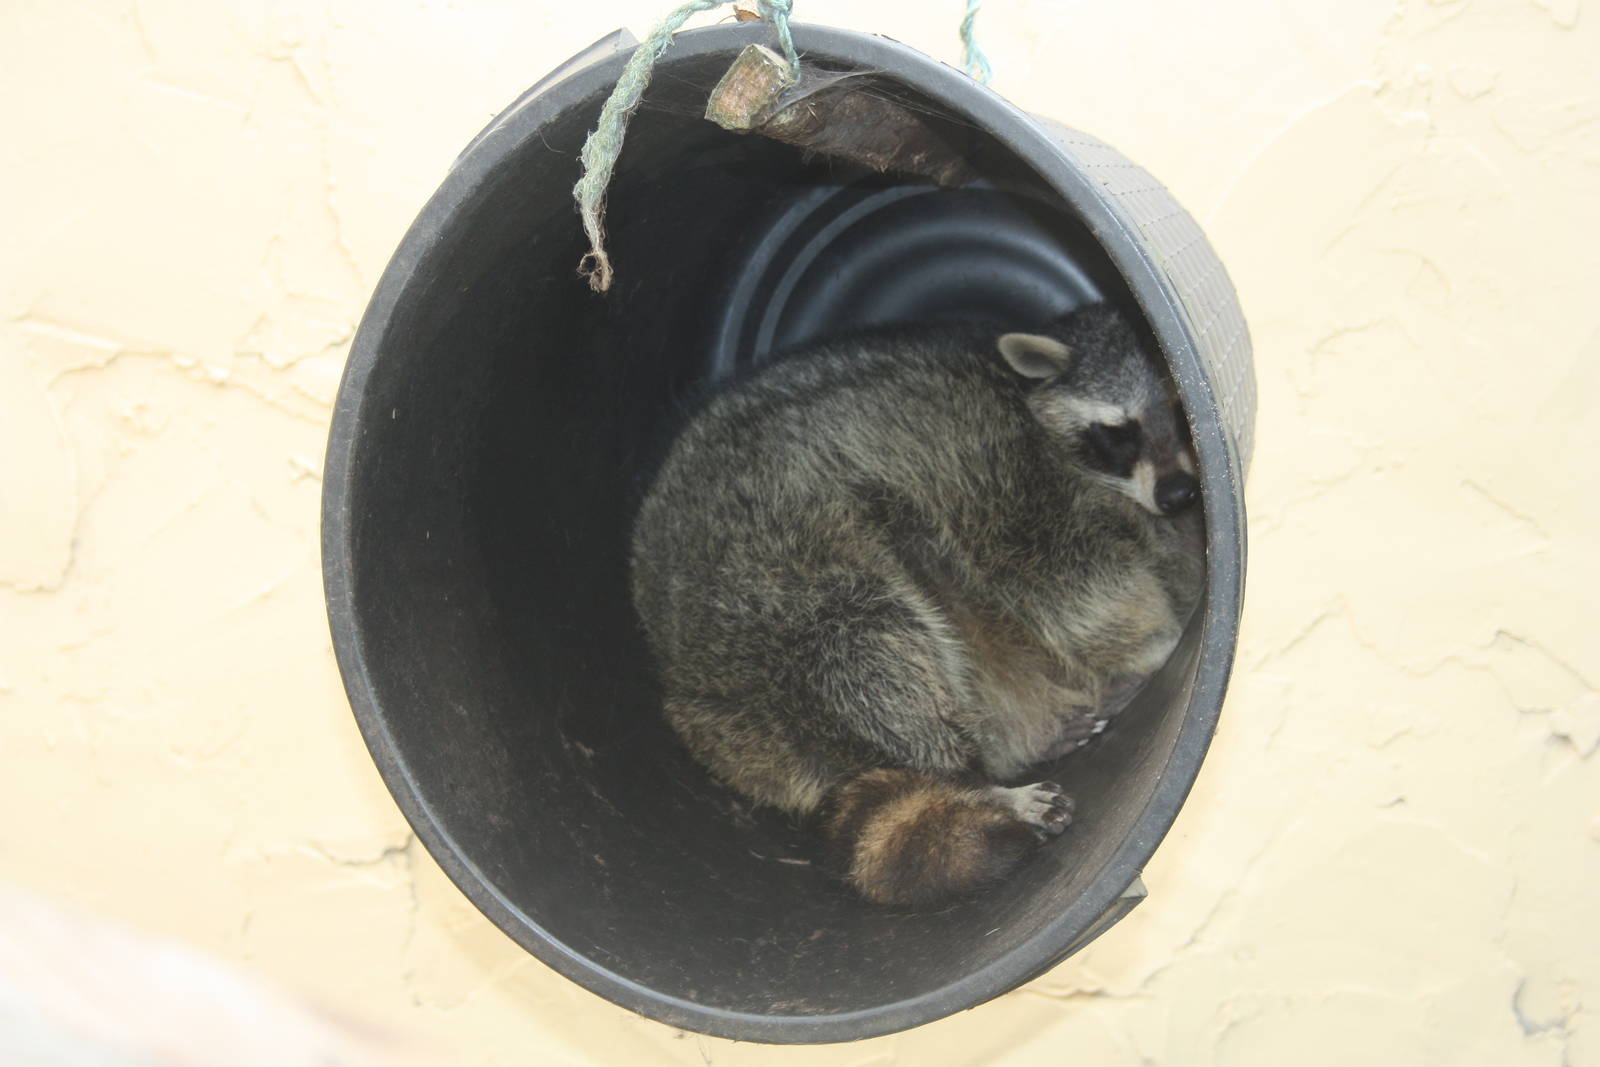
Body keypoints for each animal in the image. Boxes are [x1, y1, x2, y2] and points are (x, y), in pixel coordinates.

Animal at [629, 304, 1204, 908]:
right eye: (1120, 432)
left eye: (1181, 408)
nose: (1178, 494)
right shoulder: (1007, 486)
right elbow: (1071, 590)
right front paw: (1157, 640)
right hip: (777, 595)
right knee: (875, 651)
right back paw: (976, 781)